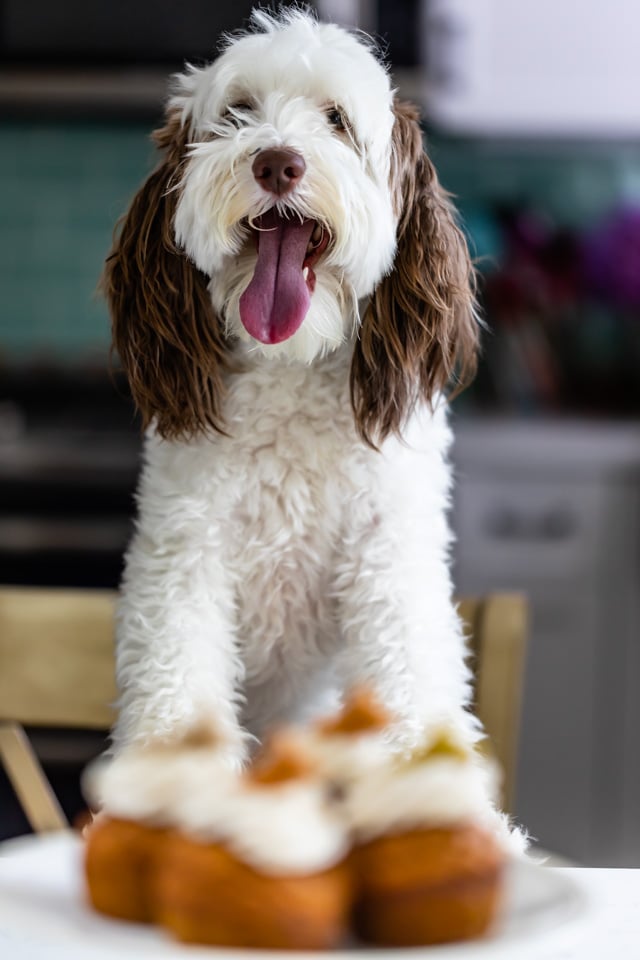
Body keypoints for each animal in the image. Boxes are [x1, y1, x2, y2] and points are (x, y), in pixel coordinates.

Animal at [105, 7, 482, 768]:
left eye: (336, 120)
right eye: (238, 114)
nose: (277, 161)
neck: (290, 366)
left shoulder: (391, 557)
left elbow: (413, 674)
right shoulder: (183, 557)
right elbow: (174, 685)